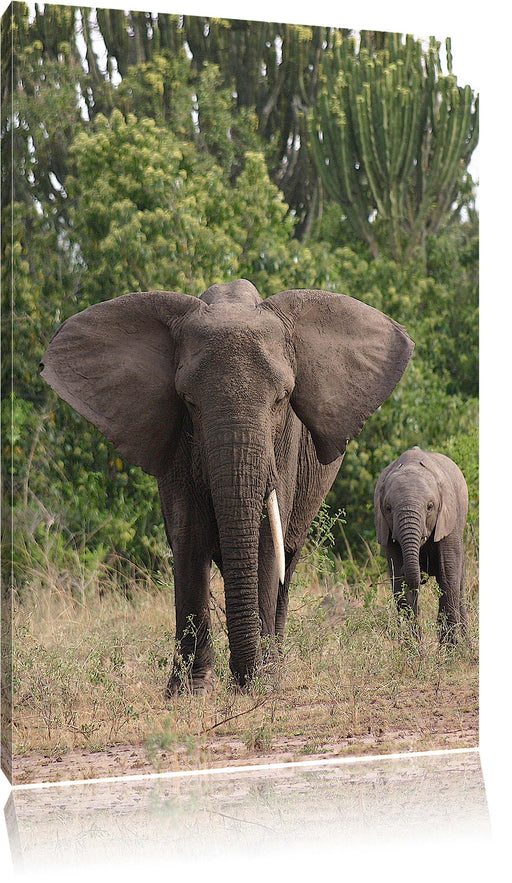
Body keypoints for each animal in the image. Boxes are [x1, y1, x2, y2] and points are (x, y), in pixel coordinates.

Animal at [42, 280, 414, 696]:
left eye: (283, 398)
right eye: (188, 401)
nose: (242, 678)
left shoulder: (285, 442)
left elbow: (267, 541)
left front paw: (261, 684)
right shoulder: (177, 437)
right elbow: (188, 536)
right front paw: (188, 691)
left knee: (288, 559)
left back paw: (276, 667)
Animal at [372, 448, 468, 644]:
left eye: (430, 507)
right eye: (388, 508)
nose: (421, 576)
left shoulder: (448, 523)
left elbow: (447, 578)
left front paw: (451, 650)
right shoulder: (387, 531)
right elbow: (399, 585)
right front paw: (413, 650)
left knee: (458, 587)